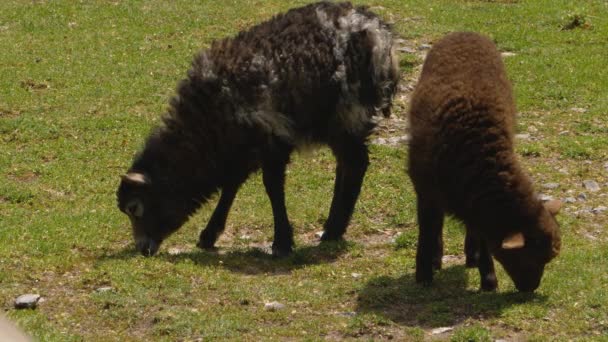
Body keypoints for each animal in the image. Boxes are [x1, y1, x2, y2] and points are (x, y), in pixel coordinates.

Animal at [406, 32, 564, 292]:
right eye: (529, 257)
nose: (530, 288)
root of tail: (465, 31)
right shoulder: (426, 190)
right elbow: (427, 231)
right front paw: (424, 274)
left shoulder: (476, 205)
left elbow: (483, 237)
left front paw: (488, 278)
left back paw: (471, 256)